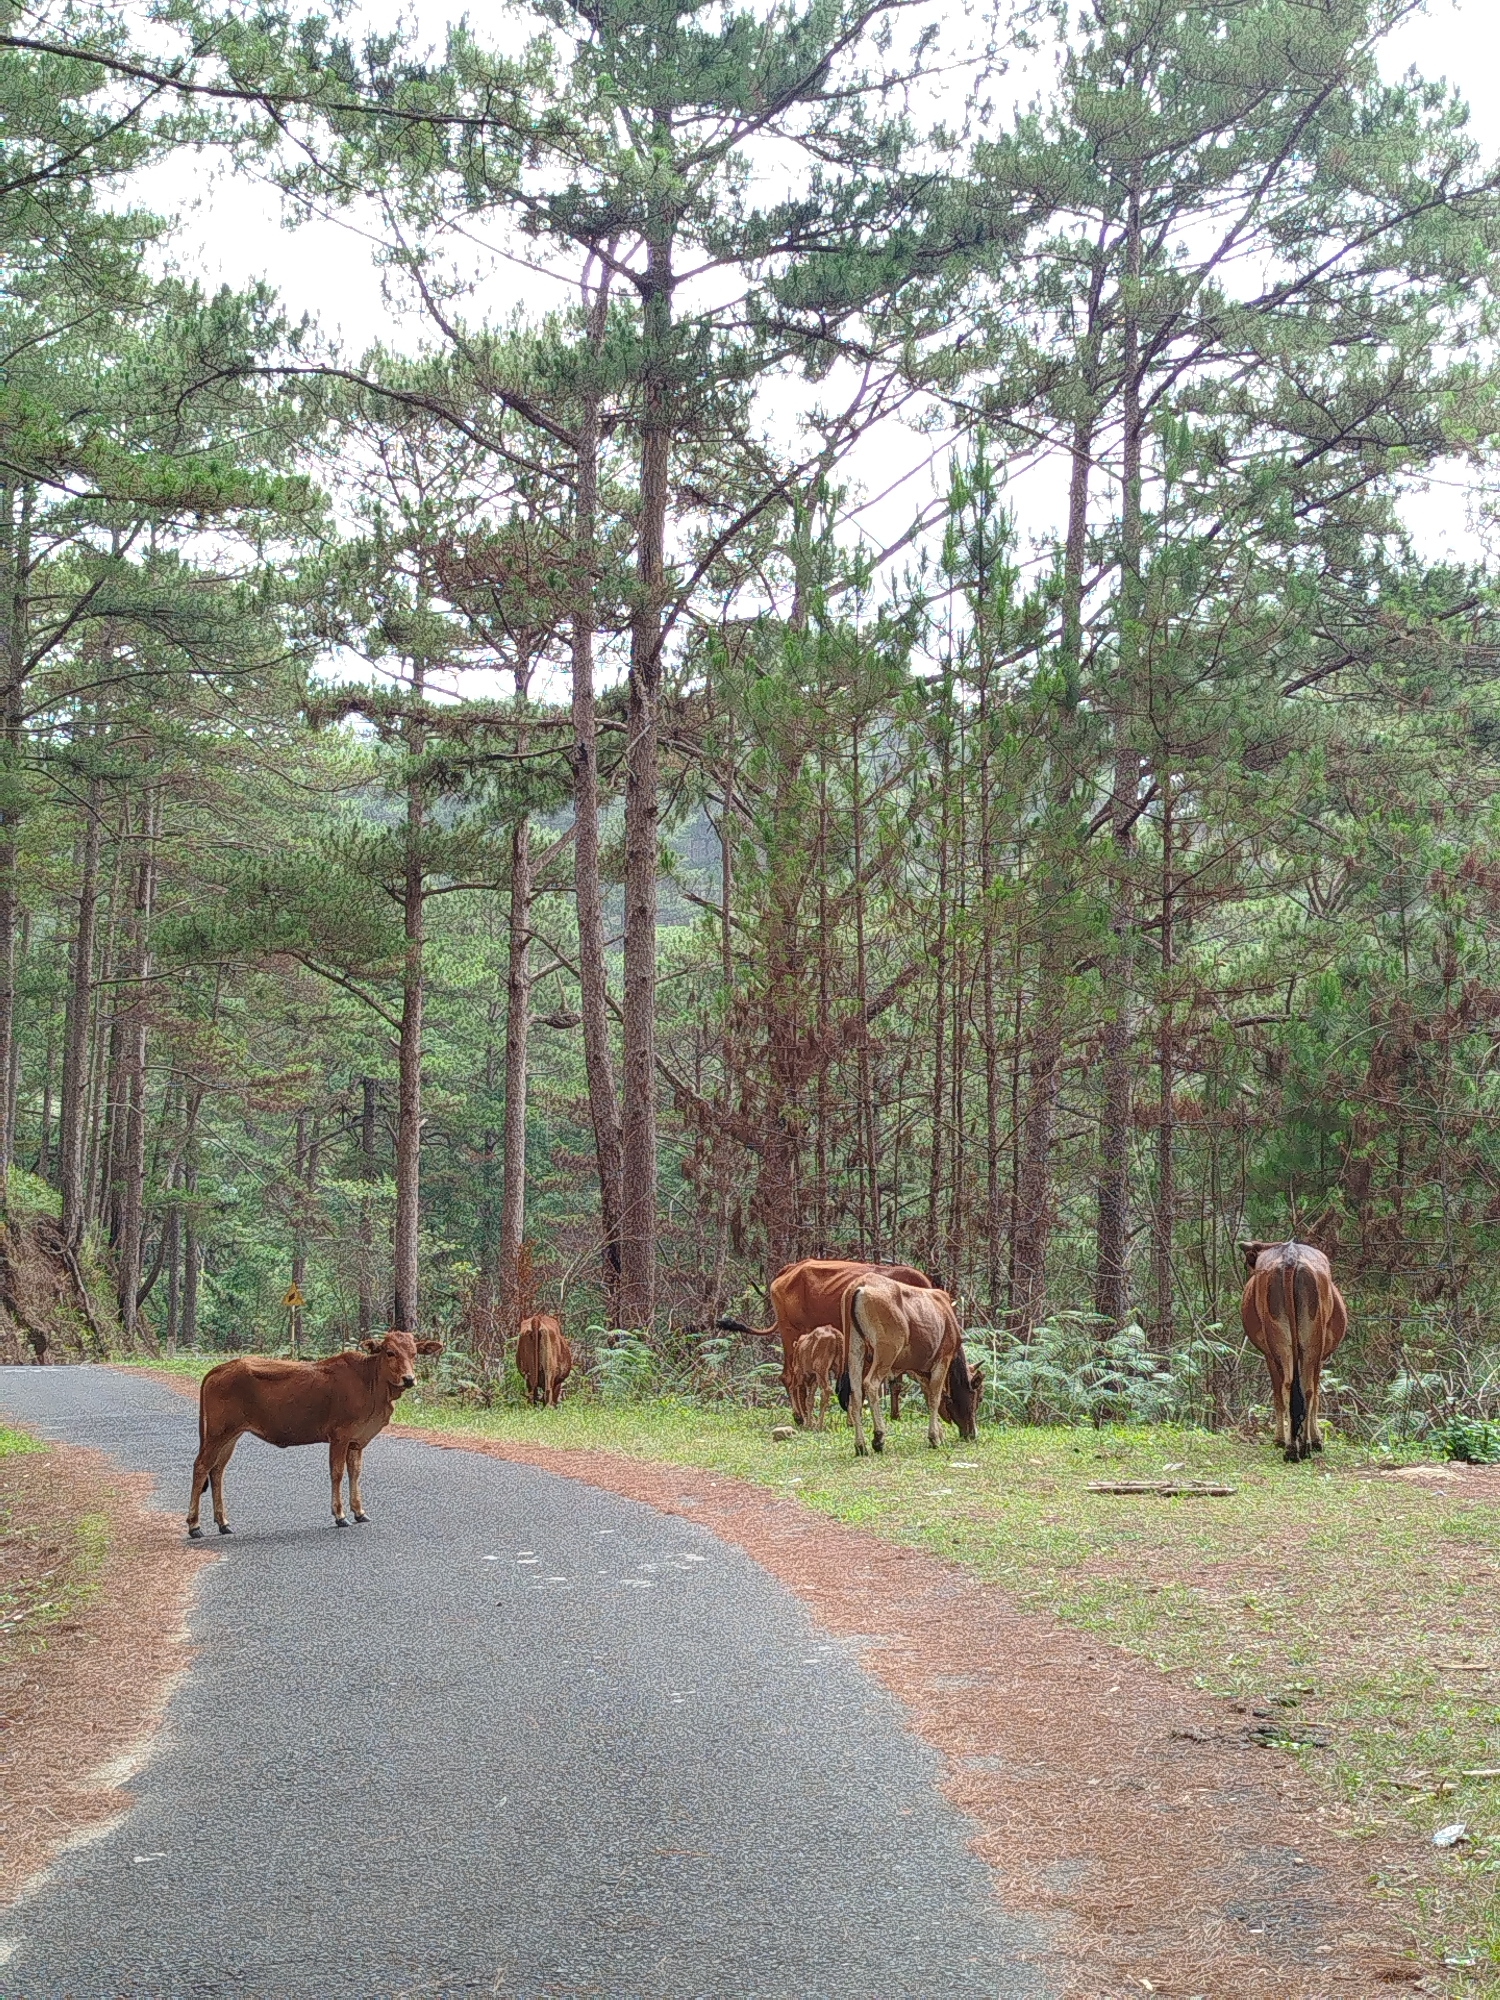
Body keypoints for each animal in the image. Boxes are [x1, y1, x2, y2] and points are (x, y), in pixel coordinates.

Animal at [186, 1329, 443, 1538]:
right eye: (390, 1352)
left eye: (414, 1354)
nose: (409, 1379)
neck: (370, 1383)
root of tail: (218, 1369)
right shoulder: (339, 1436)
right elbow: (337, 1473)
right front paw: (340, 1516)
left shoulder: (356, 1441)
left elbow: (355, 1472)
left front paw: (359, 1511)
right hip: (217, 1434)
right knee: (201, 1467)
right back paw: (194, 1525)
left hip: (231, 1435)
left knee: (217, 1470)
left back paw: (223, 1523)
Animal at [718, 1258, 933, 1423]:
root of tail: (791, 1269)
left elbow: (895, 1383)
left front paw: (895, 1415)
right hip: (789, 1332)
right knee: (789, 1377)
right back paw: (800, 1417)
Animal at [841, 1275, 976, 1456]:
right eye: (976, 1396)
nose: (972, 1433)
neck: (946, 1315)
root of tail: (860, 1284)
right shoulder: (943, 1359)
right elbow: (935, 1397)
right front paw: (935, 1437)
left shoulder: (919, 1370)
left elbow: (928, 1395)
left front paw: (939, 1434)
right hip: (886, 1351)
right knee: (870, 1384)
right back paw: (878, 1438)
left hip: (855, 1349)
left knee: (855, 1393)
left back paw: (860, 1445)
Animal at [1239, 1240, 1348, 1462]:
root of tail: (1290, 1257)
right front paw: (1312, 1440)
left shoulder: (1269, 1355)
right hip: (1307, 1345)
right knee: (1303, 1389)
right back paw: (1300, 1446)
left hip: (1286, 1345)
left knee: (1292, 1388)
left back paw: (1294, 1447)